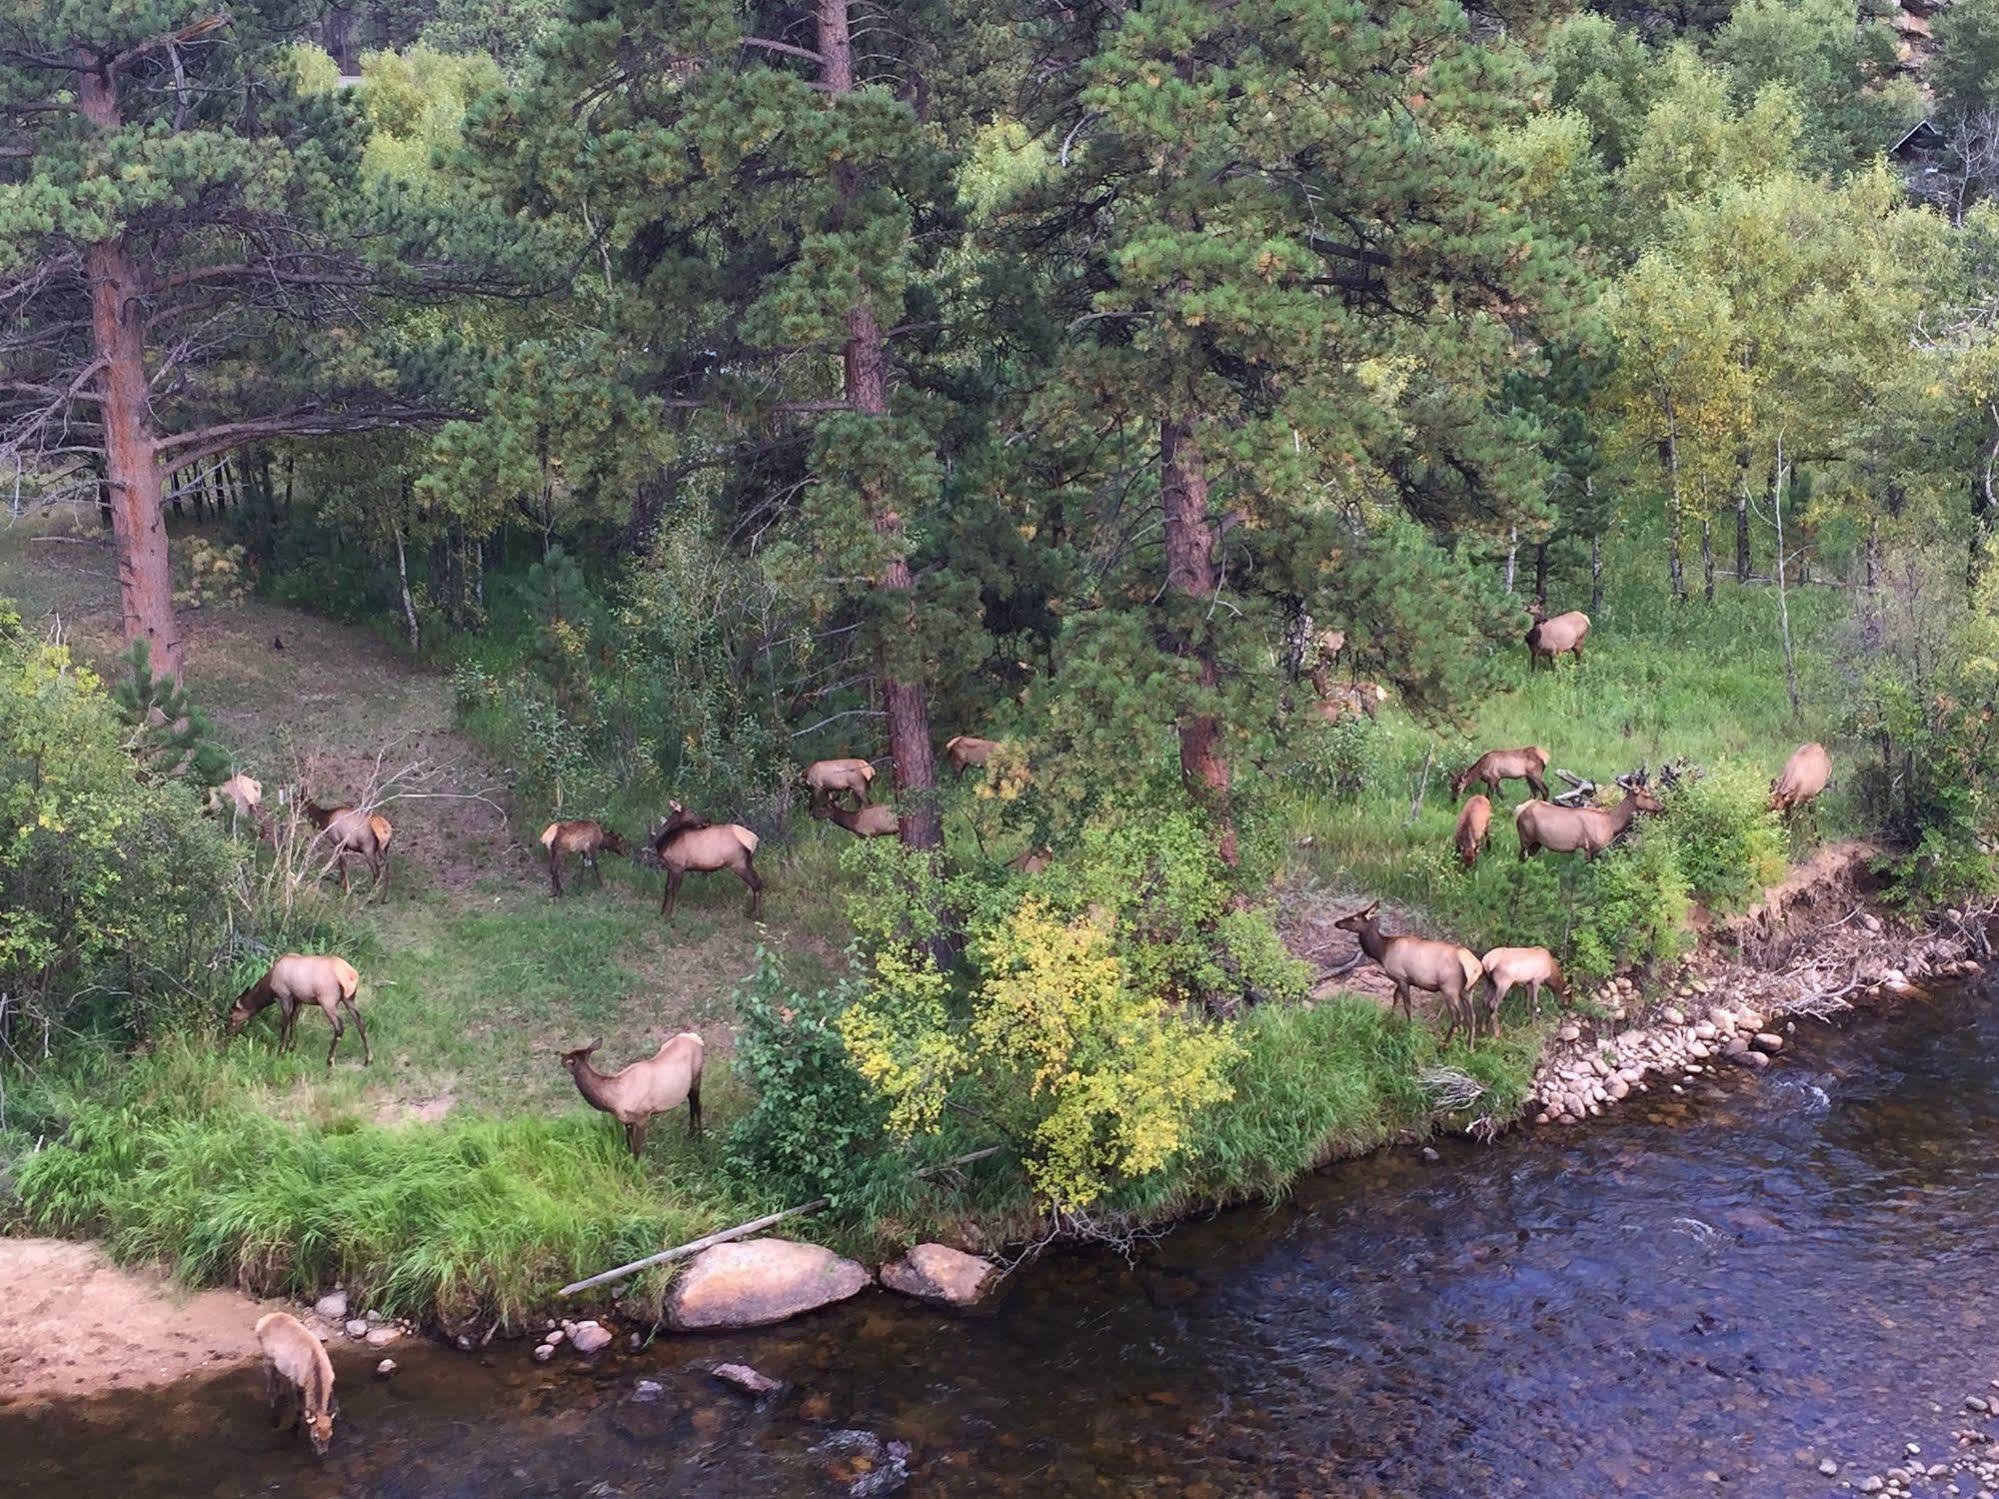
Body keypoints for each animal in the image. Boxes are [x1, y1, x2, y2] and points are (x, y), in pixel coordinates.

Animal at [224, 955, 373, 1071]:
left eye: (231, 1016)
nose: (228, 1032)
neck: (269, 988)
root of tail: (352, 976)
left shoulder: (285, 996)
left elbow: (284, 1024)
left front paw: (280, 1051)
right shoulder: (298, 999)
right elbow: (294, 1021)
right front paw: (291, 1047)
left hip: (328, 1001)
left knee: (339, 1026)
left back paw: (330, 1060)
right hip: (349, 999)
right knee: (361, 1023)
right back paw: (368, 1059)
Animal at [253, 1311, 335, 1455]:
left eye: (330, 1435)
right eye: (315, 1437)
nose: (323, 1453)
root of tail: (262, 1321)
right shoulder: (295, 1381)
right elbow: (298, 1409)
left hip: (277, 1363)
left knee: (277, 1377)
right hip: (267, 1358)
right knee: (270, 1384)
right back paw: (273, 1404)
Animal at [559, 1031, 707, 1159]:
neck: (614, 1101)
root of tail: (696, 1036)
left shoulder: (643, 1115)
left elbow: (637, 1149)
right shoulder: (626, 1120)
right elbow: (629, 1145)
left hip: (697, 1076)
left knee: (697, 1105)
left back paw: (699, 1137)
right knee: (692, 1103)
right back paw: (691, 1133)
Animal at [1327, 903, 1487, 1047]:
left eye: (1354, 918)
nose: (1337, 923)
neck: (1381, 951)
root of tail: (1476, 967)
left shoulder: (1402, 977)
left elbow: (1407, 1005)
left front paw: (1409, 1027)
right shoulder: (1402, 979)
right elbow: (1395, 998)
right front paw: (1390, 1017)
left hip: (1449, 988)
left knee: (1457, 1017)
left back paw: (1444, 1046)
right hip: (1468, 990)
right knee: (1472, 1017)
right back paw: (1470, 1047)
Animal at [1511, 767, 1671, 863]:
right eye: (1646, 795)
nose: (1661, 806)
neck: (1611, 823)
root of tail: (1518, 810)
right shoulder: (1589, 847)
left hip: (1536, 842)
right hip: (1525, 839)